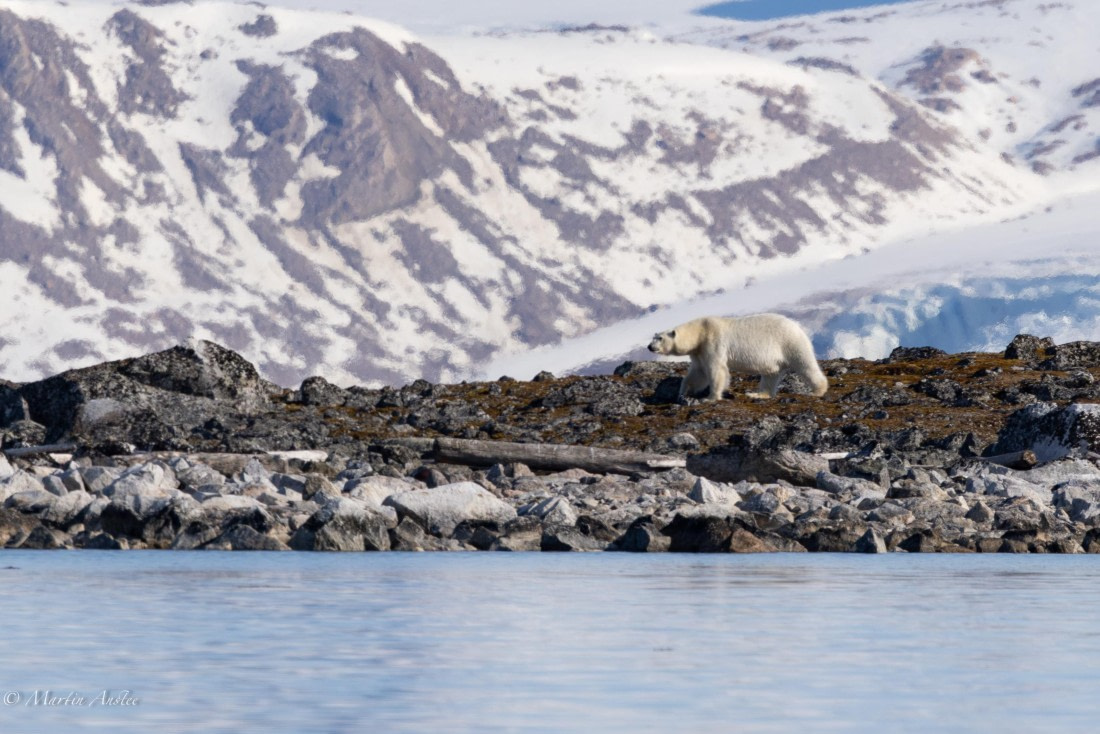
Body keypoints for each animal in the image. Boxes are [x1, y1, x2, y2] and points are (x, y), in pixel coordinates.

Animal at [647, 313, 828, 401]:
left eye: (660, 338)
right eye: (654, 336)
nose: (649, 347)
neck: (700, 331)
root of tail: (799, 327)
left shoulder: (713, 342)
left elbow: (716, 370)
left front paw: (710, 398)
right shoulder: (699, 352)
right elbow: (698, 373)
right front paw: (683, 392)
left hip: (790, 342)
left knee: (805, 365)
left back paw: (818, 390)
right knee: (770, 375)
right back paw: (757, 394)